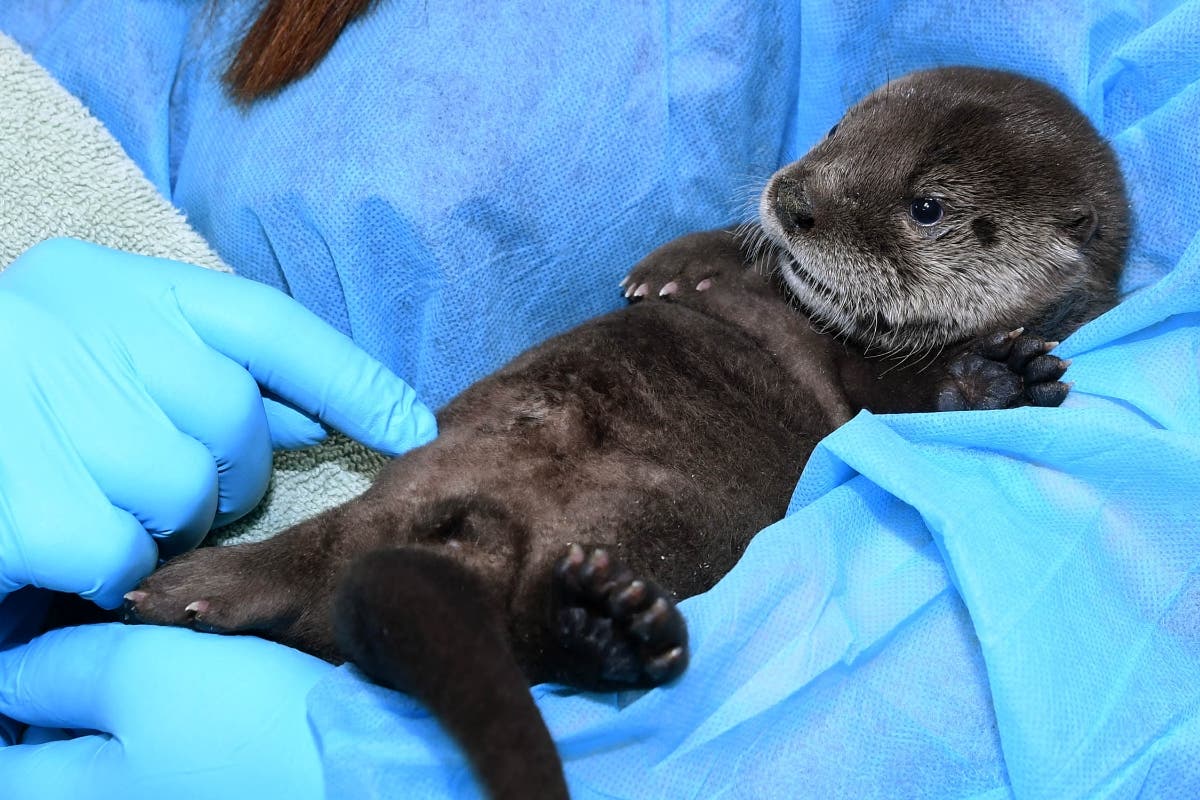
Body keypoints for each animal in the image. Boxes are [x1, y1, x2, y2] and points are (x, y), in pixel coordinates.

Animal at [124, 67, 1128, 799]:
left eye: (927, 206)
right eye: (840, 129)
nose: (795, 195)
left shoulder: (871, 381)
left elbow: (897, 399)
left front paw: (995, 378)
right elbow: (717, 256)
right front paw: (669, 267)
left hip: (665, 517)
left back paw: (605, 629)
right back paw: (192, 589)